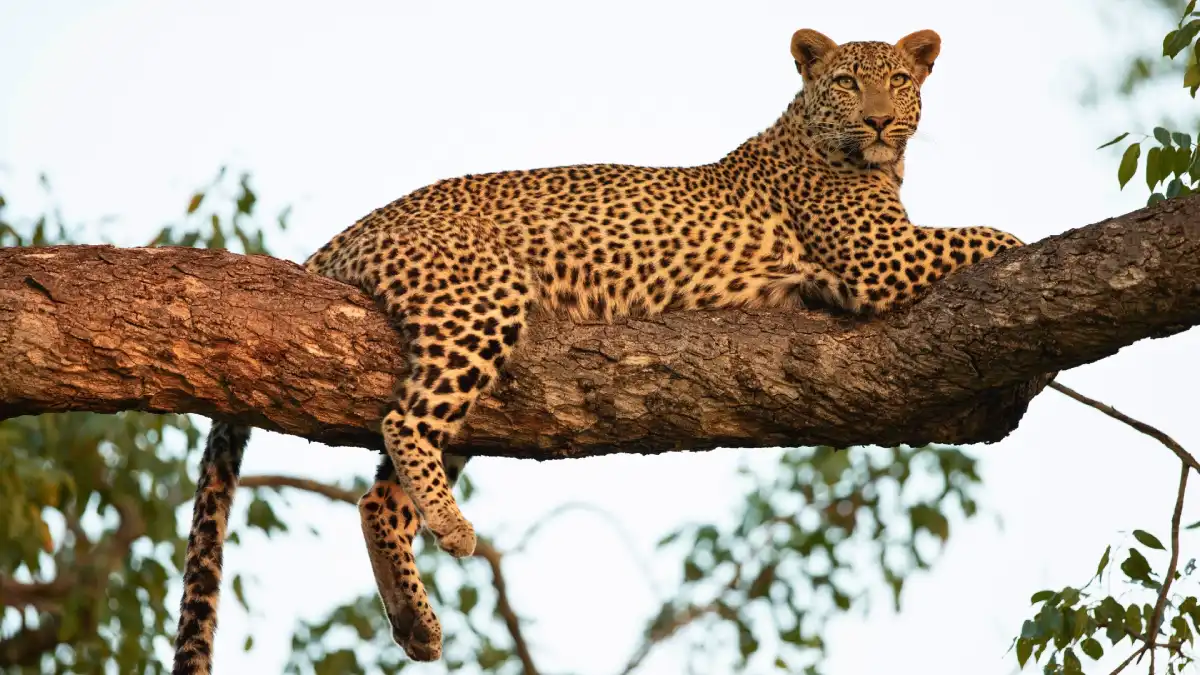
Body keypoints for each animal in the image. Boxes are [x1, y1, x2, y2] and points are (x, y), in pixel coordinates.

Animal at [171, 27, 1024, 673]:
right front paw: (1026, 244)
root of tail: (352, 229)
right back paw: (452, 529)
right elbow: (990, 233)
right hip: (483, 298)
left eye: (898, 81)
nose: (879, 122)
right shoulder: (880, 260)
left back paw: (417, 619)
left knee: (380, 494)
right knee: (403, 423)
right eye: (847, 81)